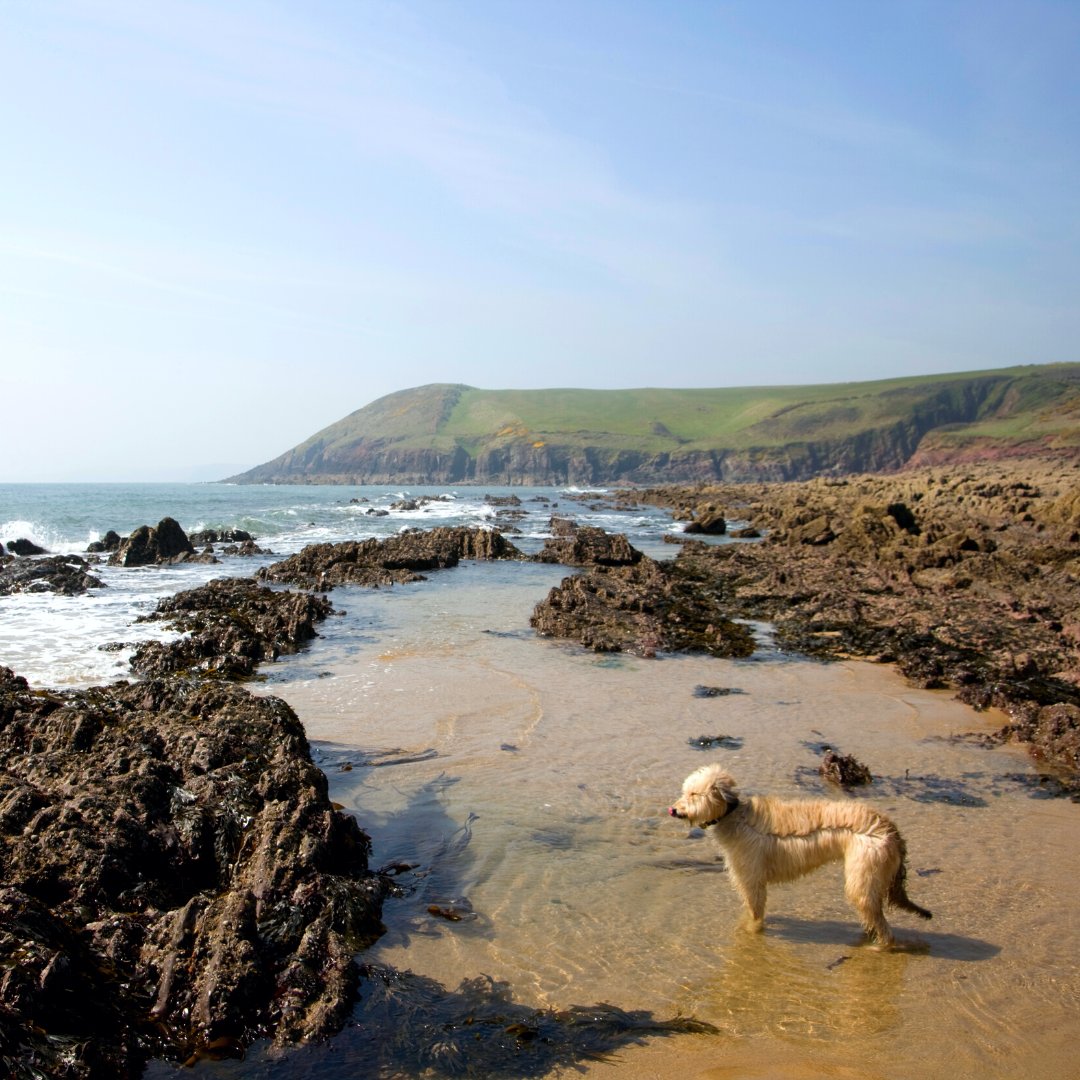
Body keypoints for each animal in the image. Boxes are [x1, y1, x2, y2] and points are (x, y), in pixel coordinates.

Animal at [665, 760, 928, 946]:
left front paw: (751, 932)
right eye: (686, 792)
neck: (734, 815)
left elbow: (755, 911)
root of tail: (891, 830)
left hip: (862, 878)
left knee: (884, 929)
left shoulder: (751, 879)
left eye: (694, 794)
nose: (673, 810)